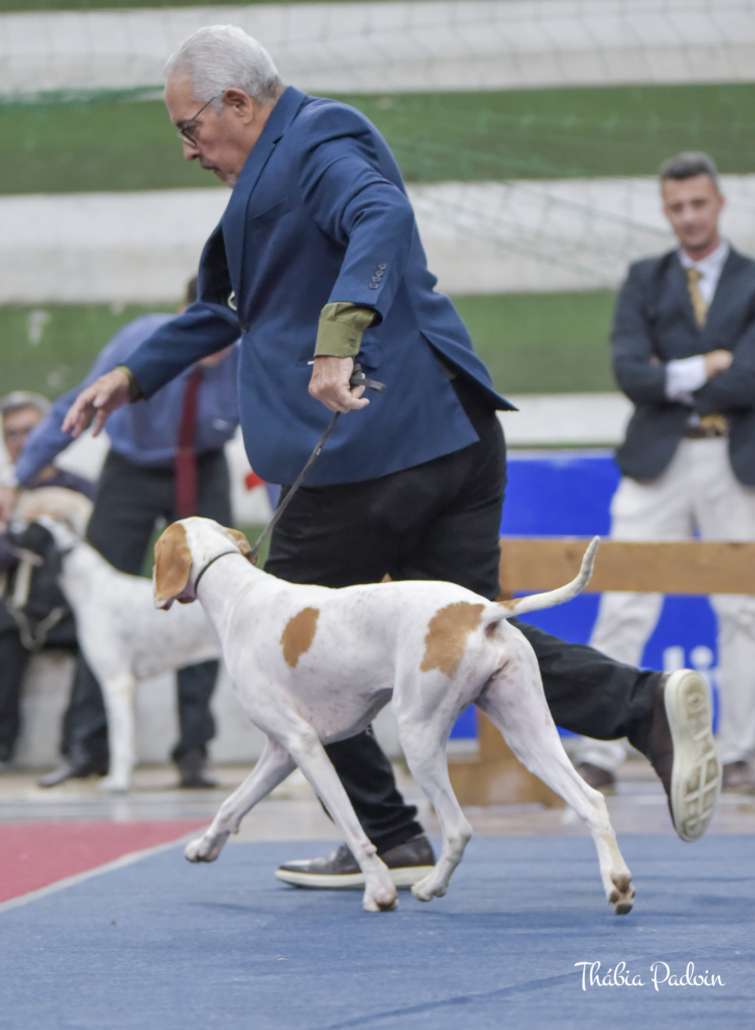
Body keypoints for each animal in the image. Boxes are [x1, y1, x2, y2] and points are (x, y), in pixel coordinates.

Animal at [7, 517, 222, 792]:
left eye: (29, 528)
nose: (9, 526)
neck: (91, 589)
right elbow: (125, 738)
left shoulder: (116, 682)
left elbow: (118, 739)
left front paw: (118, 782)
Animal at [153, 516, 635, 916]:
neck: (239, 595)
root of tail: (480, 609)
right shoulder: (281, 751)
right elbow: (232, 804)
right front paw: (203, 847)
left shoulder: (305, 746)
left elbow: (354, 829)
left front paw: (380, 891)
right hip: (528, 735)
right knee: (590, 801)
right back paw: (618, 886)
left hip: (419, 737)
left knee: (458, 829)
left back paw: (429, 887)